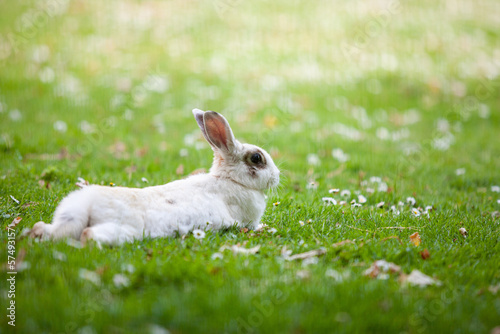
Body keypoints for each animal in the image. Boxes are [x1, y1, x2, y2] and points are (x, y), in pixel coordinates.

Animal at [29, 109, 280, 245]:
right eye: (257, 158)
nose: (277, 176)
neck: (230, 180)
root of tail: (86, 206)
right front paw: (266, 227)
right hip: (125, 230)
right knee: (89, 234)